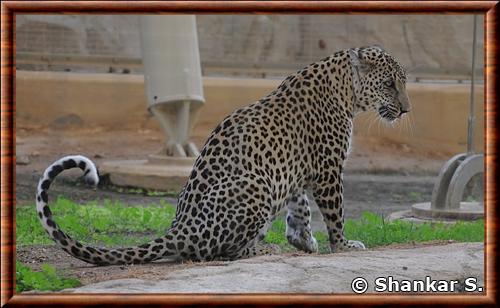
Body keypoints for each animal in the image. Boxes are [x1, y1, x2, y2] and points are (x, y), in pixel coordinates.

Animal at [35, 45, 410, 264]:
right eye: (389, 84)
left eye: (402, 82)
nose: (407, 109)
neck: (346, 90)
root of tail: (179, 230)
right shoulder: (329, 169)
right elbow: (335, 213)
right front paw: (342, 245)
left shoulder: (294, 170)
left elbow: (299, 206)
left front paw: (303, 240)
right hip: (255, 187)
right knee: (217, 252)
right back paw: (261, 248)